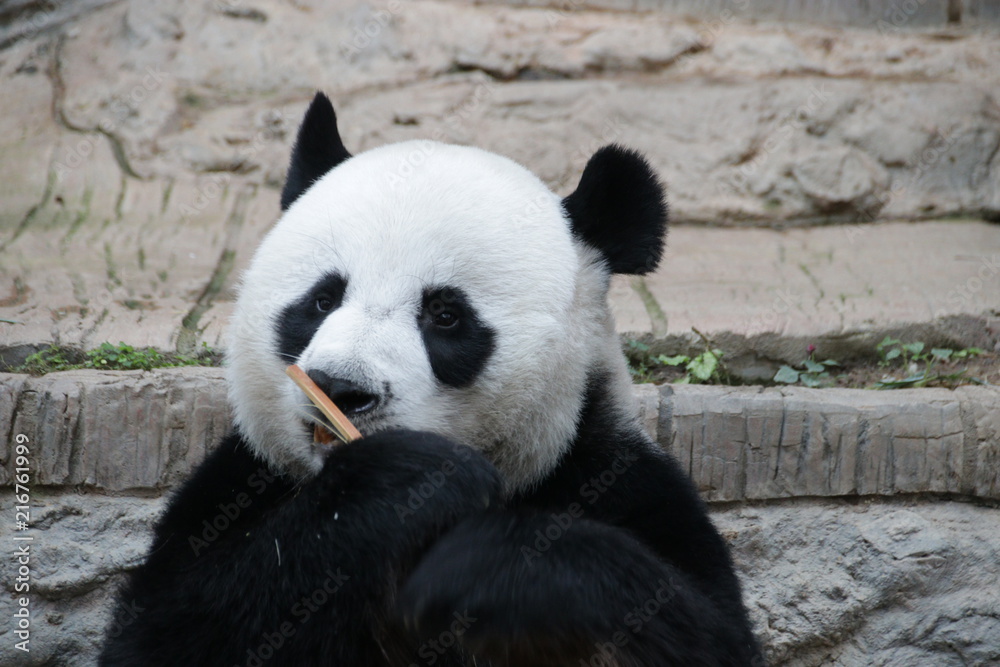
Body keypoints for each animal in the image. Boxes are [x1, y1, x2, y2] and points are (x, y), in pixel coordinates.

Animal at [100, 92, 762, 667]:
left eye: (445, 314)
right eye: (321, 300)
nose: (341, 389)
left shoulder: (611, 474)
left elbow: (704, 632)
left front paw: (485, 567)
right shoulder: (239, 484)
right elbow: (166, 632)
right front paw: (406, 481)